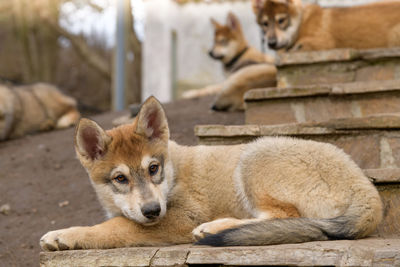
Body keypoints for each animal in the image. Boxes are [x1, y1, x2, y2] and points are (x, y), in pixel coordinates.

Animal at [39, 97, 382, 251]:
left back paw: (212, 228)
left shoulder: (178, 219)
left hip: (254, 157)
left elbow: (112, 228)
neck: (174, 173)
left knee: (282, 217)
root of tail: (366, 189)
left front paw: (63, 235)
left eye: (153, 168)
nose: (152, 211)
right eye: (120, 179)